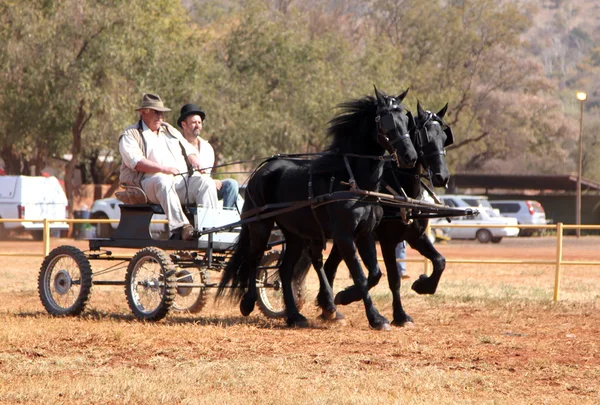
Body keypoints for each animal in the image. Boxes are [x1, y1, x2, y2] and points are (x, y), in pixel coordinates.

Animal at [218, 87, 420, 328]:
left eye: (405, 119)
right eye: (387, 120)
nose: (410, 157)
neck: (352, 179)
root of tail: (262, 171)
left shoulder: (365, 233)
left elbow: (374, 274)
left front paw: (341, 299)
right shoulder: (344, 236)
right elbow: (361, 276)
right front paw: (374, 317)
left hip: (295, 235)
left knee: (285, 271)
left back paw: (295, 316)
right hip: (261, 225)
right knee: (254, 258)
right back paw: (248, 303)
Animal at [322, 101, 452, 326]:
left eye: (444, 138)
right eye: (424, 138)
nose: (441, 177)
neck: (401, 190)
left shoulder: (415, 236)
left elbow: (440, 261)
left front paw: (423, 285)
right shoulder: (387, 241)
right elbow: (392, 278)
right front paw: (399, 315)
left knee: (329, 267)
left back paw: (328, 308)